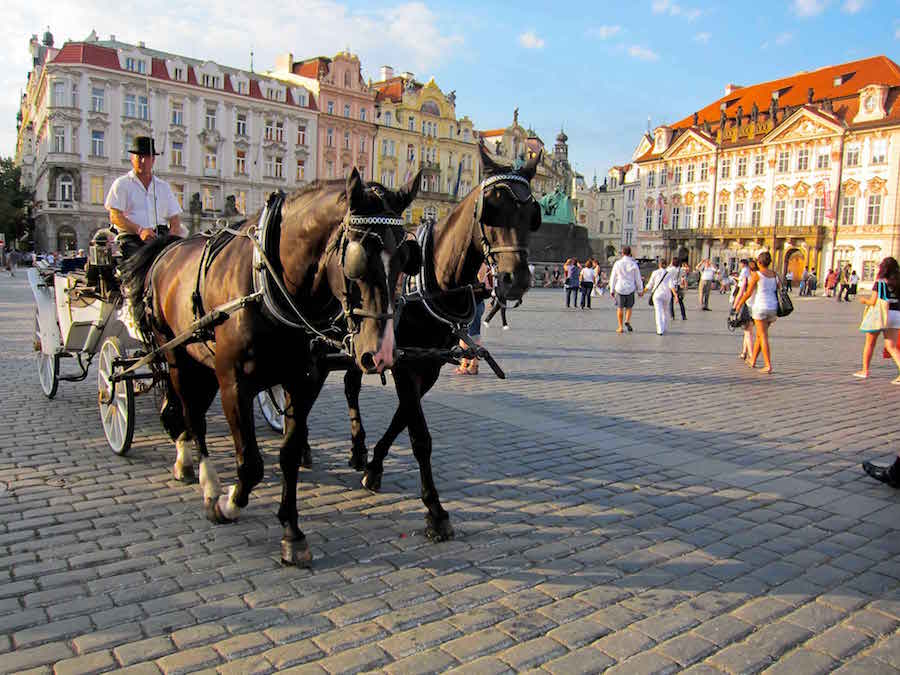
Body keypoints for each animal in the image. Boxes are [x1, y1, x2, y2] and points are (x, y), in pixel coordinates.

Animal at [118, 169, 422, 564]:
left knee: (186, 409)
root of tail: (167, 247)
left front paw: (292, 533)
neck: (268, 284)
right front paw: (228, 503)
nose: (381, 354)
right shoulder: (233, 383)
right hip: (176, 356)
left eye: (405, 260)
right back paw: (205, 479)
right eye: (357, 258)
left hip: (200, 363)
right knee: (192, 416)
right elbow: (250, 464)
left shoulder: (304, 381)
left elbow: (288, 455)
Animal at [306, 145, 540, 540]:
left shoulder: (424, 367)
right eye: (491, 208)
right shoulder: (403, 366)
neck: (429, 282)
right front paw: (435, 509)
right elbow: (419, 436)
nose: (515, 279)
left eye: (531, 214)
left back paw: (357, 448)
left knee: (351, 386)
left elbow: (403, 419)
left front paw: (374, 466)